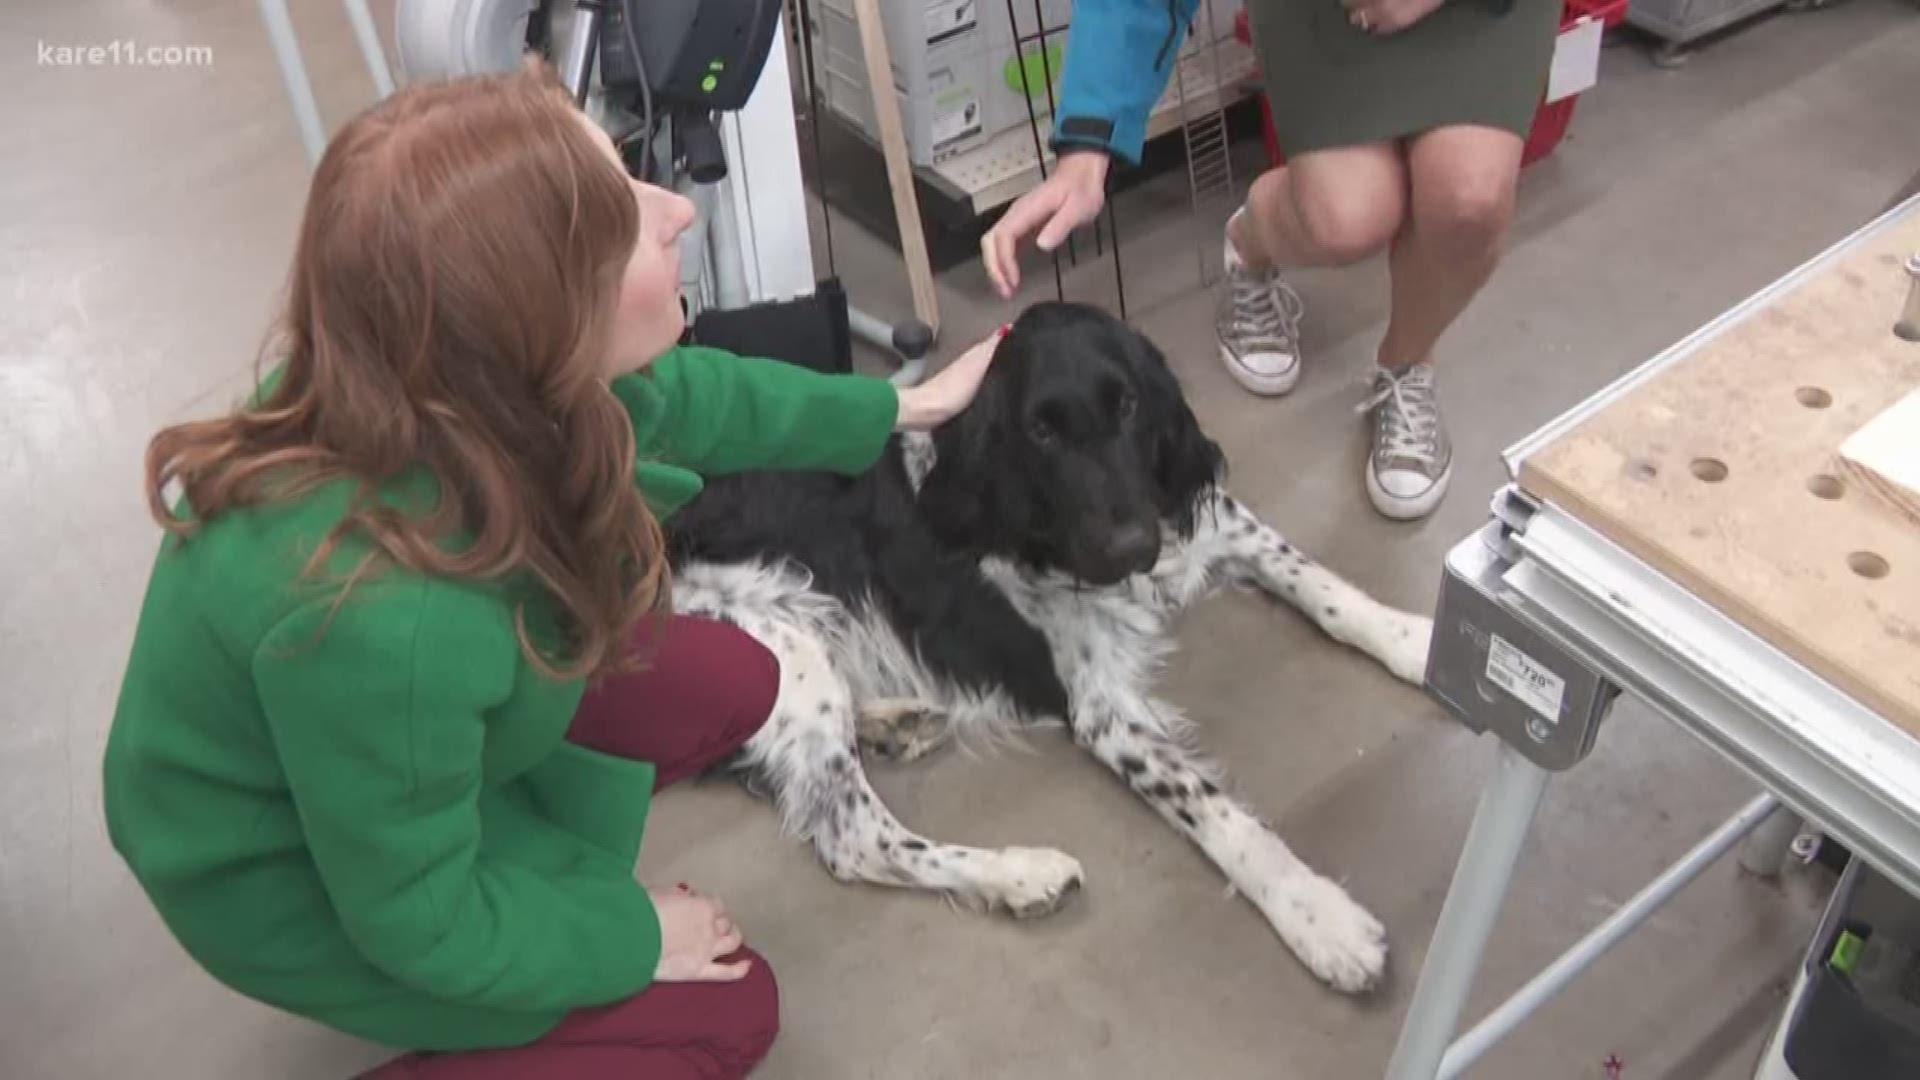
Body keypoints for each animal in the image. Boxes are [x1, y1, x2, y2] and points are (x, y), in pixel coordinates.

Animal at [668, 297, 1436, 991]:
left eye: (1128, 407)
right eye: (1040, 431)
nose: (1127, 546)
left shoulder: (1206, 522)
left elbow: (1323, 586)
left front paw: (1421, 640)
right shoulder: (1104, 714)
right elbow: (1216, 810)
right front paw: (1318, 916)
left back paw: (896, 723)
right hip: (783, 646)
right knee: (854, 836)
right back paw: (1019, 872)